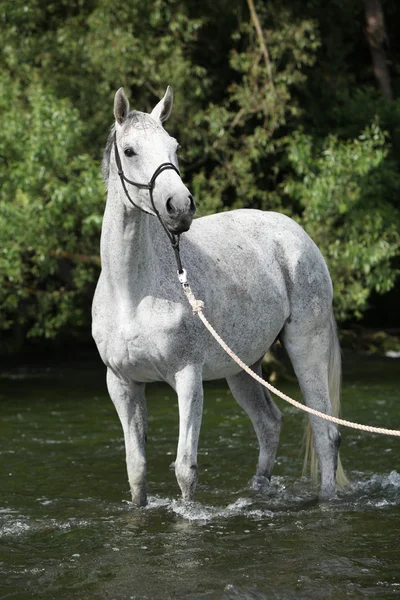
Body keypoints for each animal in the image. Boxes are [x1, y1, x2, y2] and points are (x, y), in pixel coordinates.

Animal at [92, 85, 346, 506]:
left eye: (174, 147)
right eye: (129, 151)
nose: (179, 207)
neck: (131, 294)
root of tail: (296, 233)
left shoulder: (188, 377)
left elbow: (185, 469)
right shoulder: (123, 384)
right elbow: (136, 470)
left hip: (306, 344)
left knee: (325, 430)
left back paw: (326, 500)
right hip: (243, 367)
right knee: (269, 424)